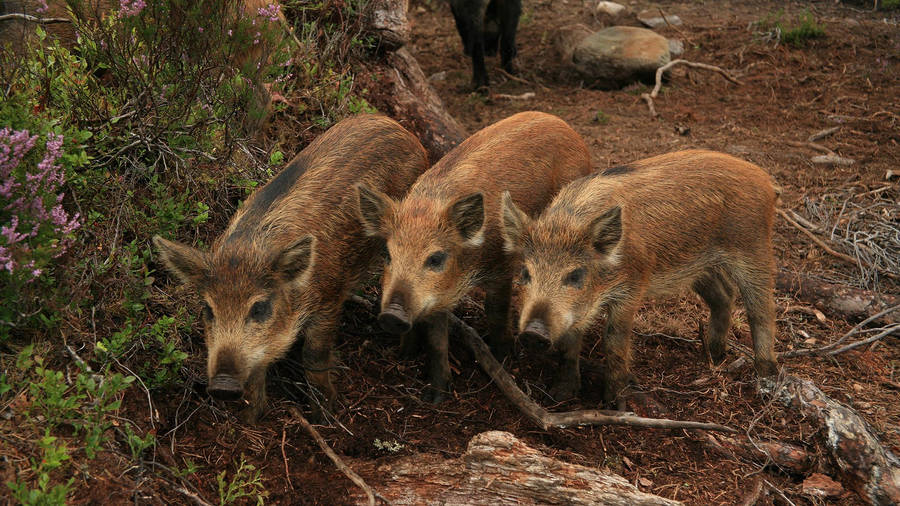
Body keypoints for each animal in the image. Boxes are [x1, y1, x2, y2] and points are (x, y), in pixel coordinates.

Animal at [153, 115, 428, 421]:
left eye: (260, 308)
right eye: (208, 309)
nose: (222, 385)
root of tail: (401, 129)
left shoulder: (329, 298)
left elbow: (313, 356)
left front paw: (326, 414)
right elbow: (257, 371)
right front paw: (251, 420)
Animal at [355, 111, 592, 402]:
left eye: (436, 258)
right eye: (388, 254)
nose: (391, 315)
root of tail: (564, 124)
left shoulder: (501, 267)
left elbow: (496, 311)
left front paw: (503, 356)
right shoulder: (439, 293)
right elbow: (436, 339)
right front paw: (433, 395)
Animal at [500, 150, 780, 408]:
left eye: (575, 274)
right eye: (525, 272)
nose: (533, 333)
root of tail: (764, 179)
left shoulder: (631, 288)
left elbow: (614, 342)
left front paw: (615, 406)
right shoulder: (577, 308)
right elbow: (569, 342)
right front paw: (560, 396)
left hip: (754, 248)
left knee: (762, 310)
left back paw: (767, 378)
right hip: (699, 265)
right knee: (724, 295)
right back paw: (714, 355)